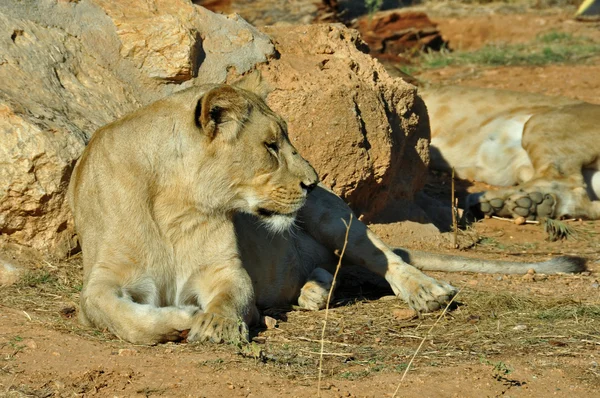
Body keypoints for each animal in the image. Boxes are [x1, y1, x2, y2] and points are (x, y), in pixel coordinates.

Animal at [68, 74, 584, 346]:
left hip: (335, 219)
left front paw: (215, 322)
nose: (313, 180)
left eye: (284, 139)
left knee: (386, 258)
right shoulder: (101, 282)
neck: (178, 203)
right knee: (323, 271)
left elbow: (228, 297)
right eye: (270, 146)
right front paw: (183, 318)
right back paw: (313, 293)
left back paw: (427, 292)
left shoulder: (227, 270)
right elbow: (121, 316)